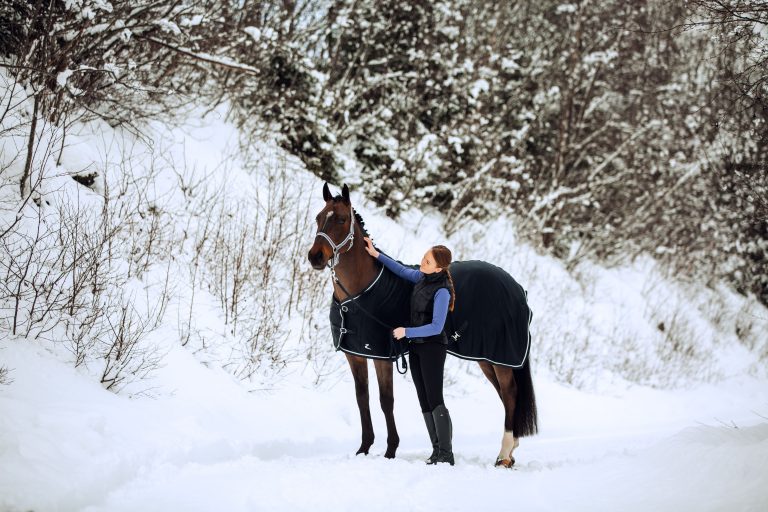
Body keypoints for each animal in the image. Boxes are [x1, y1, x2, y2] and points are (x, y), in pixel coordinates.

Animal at [307, 182, 538, 466]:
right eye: (319, 217)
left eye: (340, 219)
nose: (315, 257)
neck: (360, 292)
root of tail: (518, 288)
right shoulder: (357, 354)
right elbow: (363, 398)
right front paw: (364, 448)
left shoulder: (384, 355)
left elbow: (386, 400)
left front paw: (390, 450)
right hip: (487, 360)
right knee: (505, 396)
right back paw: (510, 451)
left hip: (500, 357)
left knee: (510, 393)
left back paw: (504, 454)